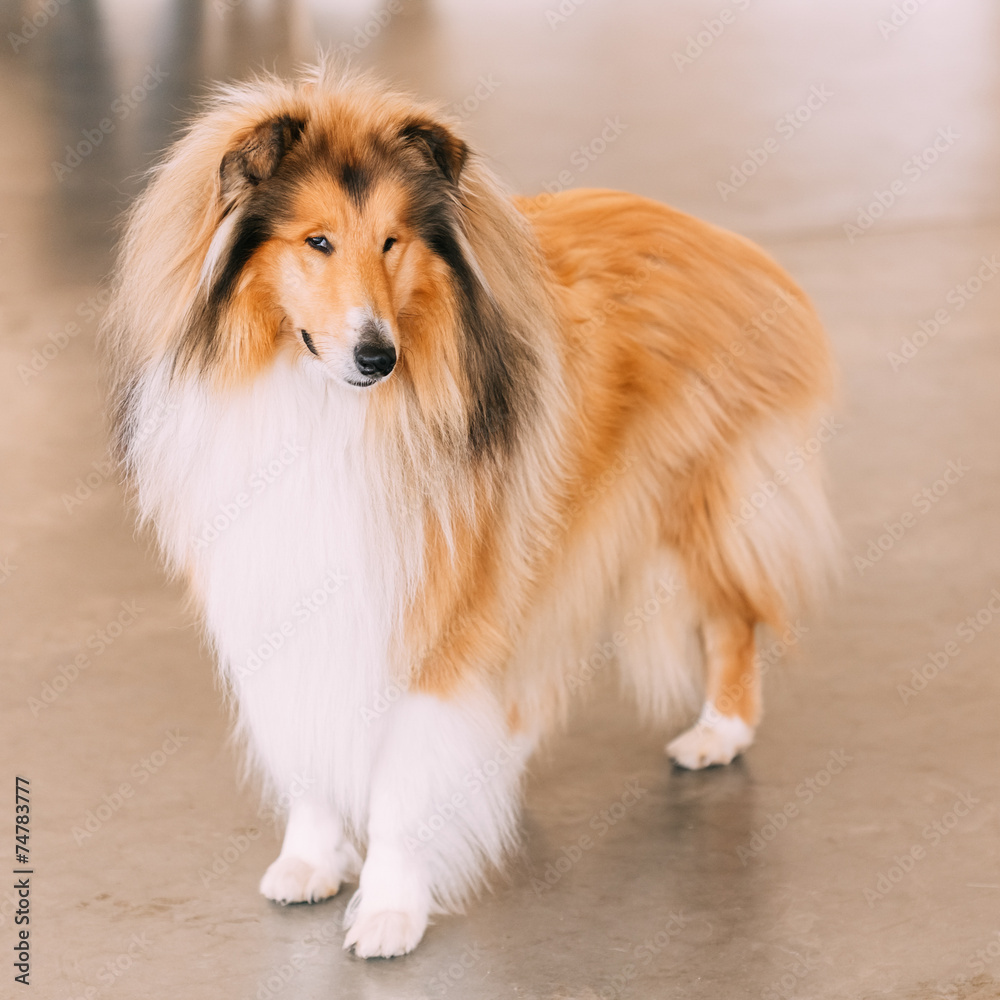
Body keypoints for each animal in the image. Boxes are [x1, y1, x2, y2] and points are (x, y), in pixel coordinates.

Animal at [99, 66, 836, 956]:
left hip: (692, 502)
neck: (323, 407)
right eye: (317, 242)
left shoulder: (435, 596)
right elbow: (308, 736)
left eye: (392, 241)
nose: (377, 356)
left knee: (734, 617)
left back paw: (719, 730)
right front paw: (310, 860)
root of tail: (722, 241)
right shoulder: (283, 590)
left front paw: (389, 907)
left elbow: (401, 777)